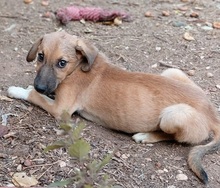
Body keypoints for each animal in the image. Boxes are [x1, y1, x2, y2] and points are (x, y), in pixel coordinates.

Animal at [7, 30, 220, 184]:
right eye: (40, 57)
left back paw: (145, 136)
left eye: (62, 63)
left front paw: (18, 90)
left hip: (173, 115)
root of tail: (212, 115)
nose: (40, 86)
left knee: (172, 136)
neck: (77, 68)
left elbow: (34, 97)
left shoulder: (61, 109)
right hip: (172, 72)